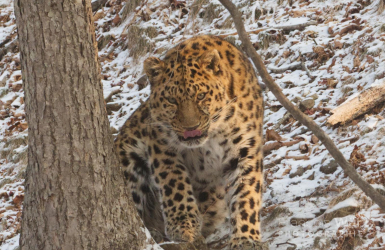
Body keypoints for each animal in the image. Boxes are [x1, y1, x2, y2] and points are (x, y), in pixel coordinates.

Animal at [114, 35, 264, 250]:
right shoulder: (161, 143)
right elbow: (175, 186)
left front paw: (246, 239)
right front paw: (184, 229)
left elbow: (247, 194)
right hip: (129, 158)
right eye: (171, 100)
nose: (190, 128)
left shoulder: (245, 149)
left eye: (200, 96)